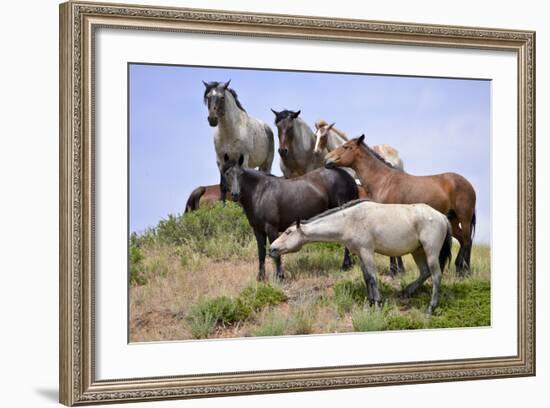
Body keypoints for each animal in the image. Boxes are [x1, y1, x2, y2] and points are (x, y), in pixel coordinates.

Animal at [222, 153, 360, 280]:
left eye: (241, 174)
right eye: (227, 173)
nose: (235, 194)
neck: (260, 193)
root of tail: (348, 177)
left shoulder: (271, 228)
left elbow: (276, 253)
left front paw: (279, 277)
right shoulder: (258, 230)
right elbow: (261, 253)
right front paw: (260, 277)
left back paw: (344, 266)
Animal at [270, 199, 454, 314]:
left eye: (288, 232)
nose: (272, 249)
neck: (349, 220)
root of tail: (442, 216)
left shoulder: (367, 251)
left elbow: (373, 277)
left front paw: (378, 304)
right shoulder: (360, 254)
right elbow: (366, 278)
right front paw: (370, 302)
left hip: (430, 252)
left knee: (436, 276)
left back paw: (431, 308)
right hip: (418, 252)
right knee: (425, 273)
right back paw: (407, 291)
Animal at [326, 135, 476, 276]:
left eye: (346, 147)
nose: (327, 160)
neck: (384, 181)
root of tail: (467, 184)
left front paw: (394, 271)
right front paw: (398, 270)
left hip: (464, 218)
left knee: (467, 241)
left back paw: (464, 270)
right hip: (453, 220)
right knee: (463, 240)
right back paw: (461, 269)